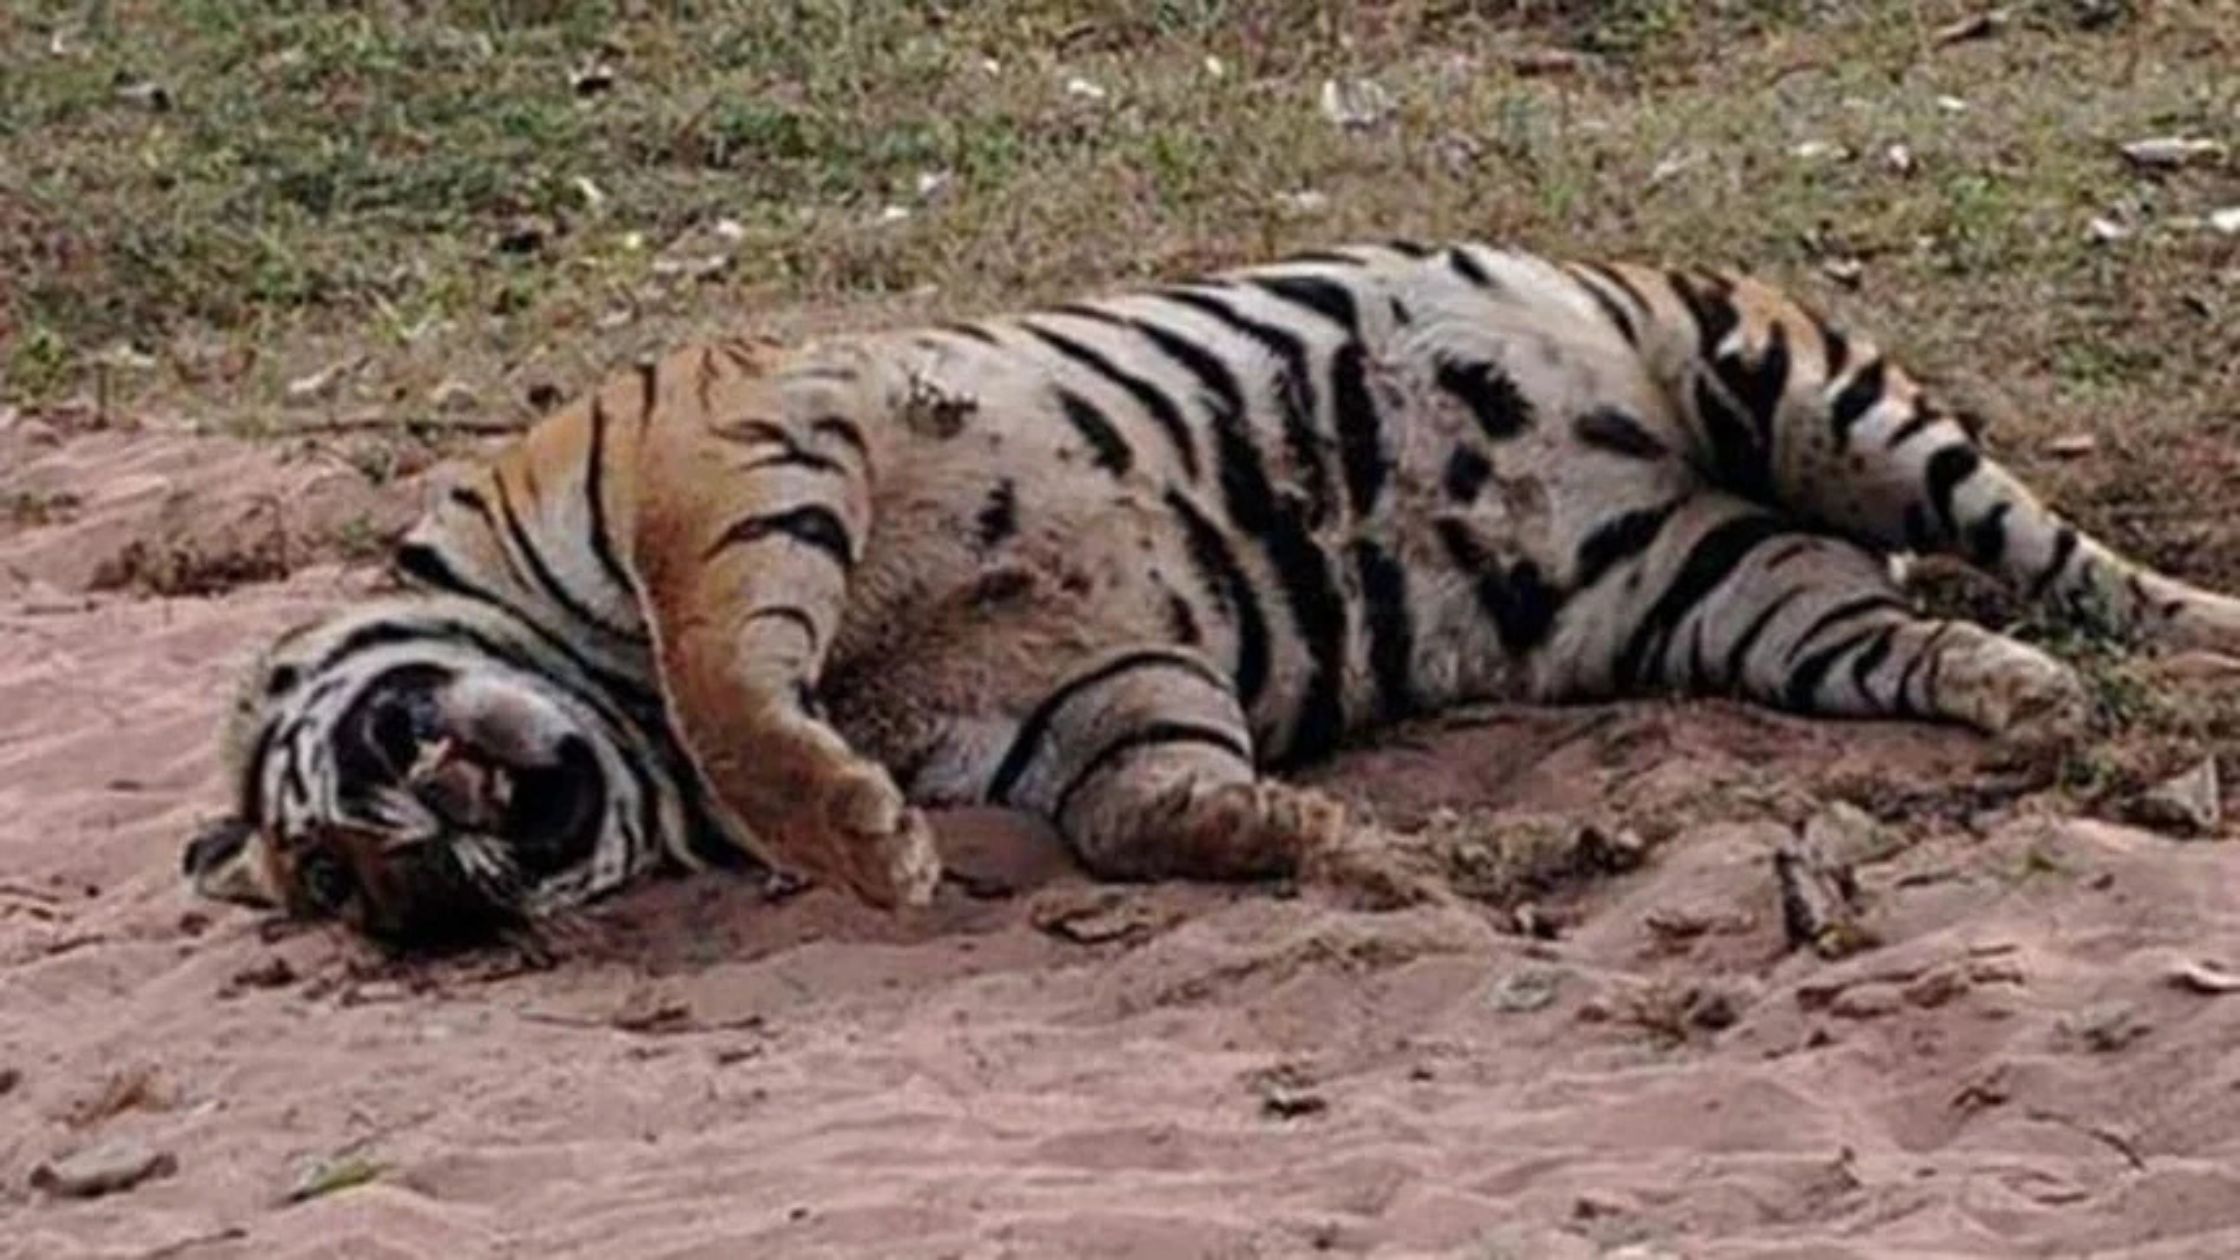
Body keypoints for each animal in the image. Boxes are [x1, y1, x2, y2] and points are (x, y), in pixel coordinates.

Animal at [182, 239, 2240, 947]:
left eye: (339, 835)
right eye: (349, 898)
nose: (425, 898)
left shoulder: (729, 460)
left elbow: (733, 684)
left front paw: (861, 846)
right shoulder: (1083, 701)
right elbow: (1150, 810)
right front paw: (1363, 862)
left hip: (1802, 385)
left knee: (2065, 554)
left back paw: (2199, 651)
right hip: (1730, 594)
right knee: (1917, 628)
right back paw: (2026, 705)